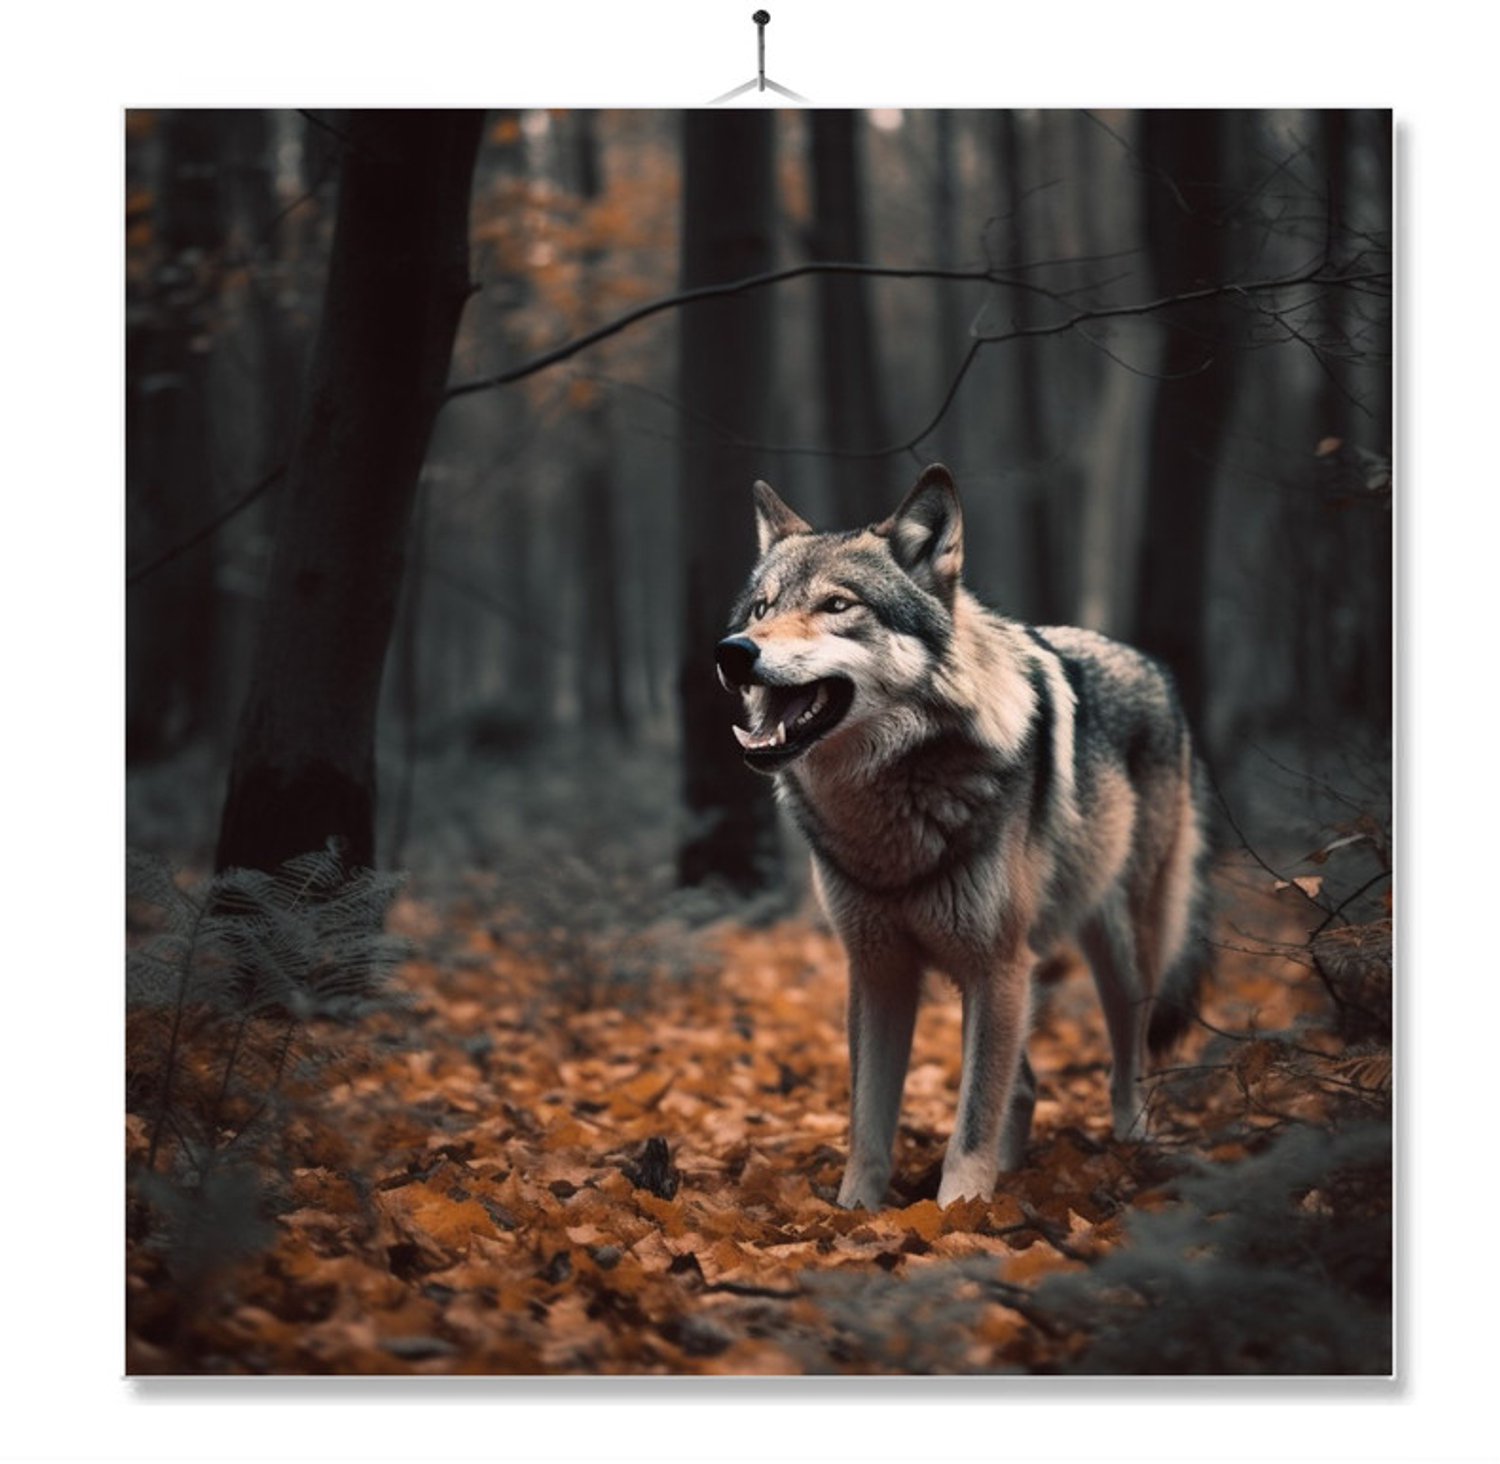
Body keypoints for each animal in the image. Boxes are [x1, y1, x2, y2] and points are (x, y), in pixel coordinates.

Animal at [715, 464, 1211, 1210]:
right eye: (759, 609)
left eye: (838, 606)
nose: (733, 653)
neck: (891, 807)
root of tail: (1154, 667)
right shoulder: (879, 969)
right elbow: (869, 1119)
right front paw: (855, 1213)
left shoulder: (997, 963)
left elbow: (972, 1117)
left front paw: (958, 1213)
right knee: (1024, 1083)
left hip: (1113, 953)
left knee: (1127, 1065)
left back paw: (1134, 1146)